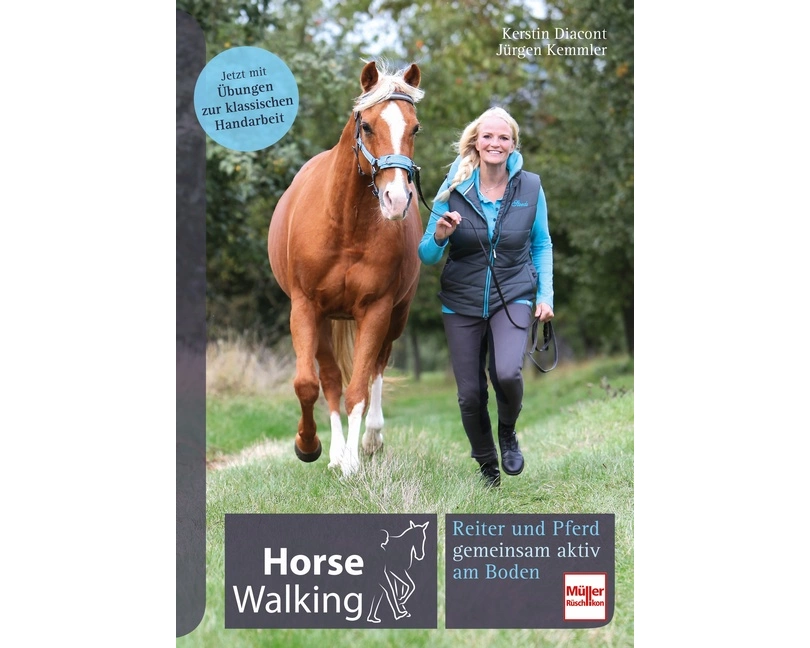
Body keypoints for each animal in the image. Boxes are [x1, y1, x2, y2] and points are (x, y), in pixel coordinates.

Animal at [267, 61, 424, 477]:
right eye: (366, 125)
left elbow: (359, 389)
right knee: (331, 380)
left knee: (376, 370)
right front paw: (309, 446)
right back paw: (335, 452)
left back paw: (369, 440)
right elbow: (310, 384)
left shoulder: (377, 310)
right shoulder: (306, 308)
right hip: (325, 319)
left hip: (397, 316)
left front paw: (353, 461)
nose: (397, 199)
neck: (345, 225)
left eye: (415, 128)